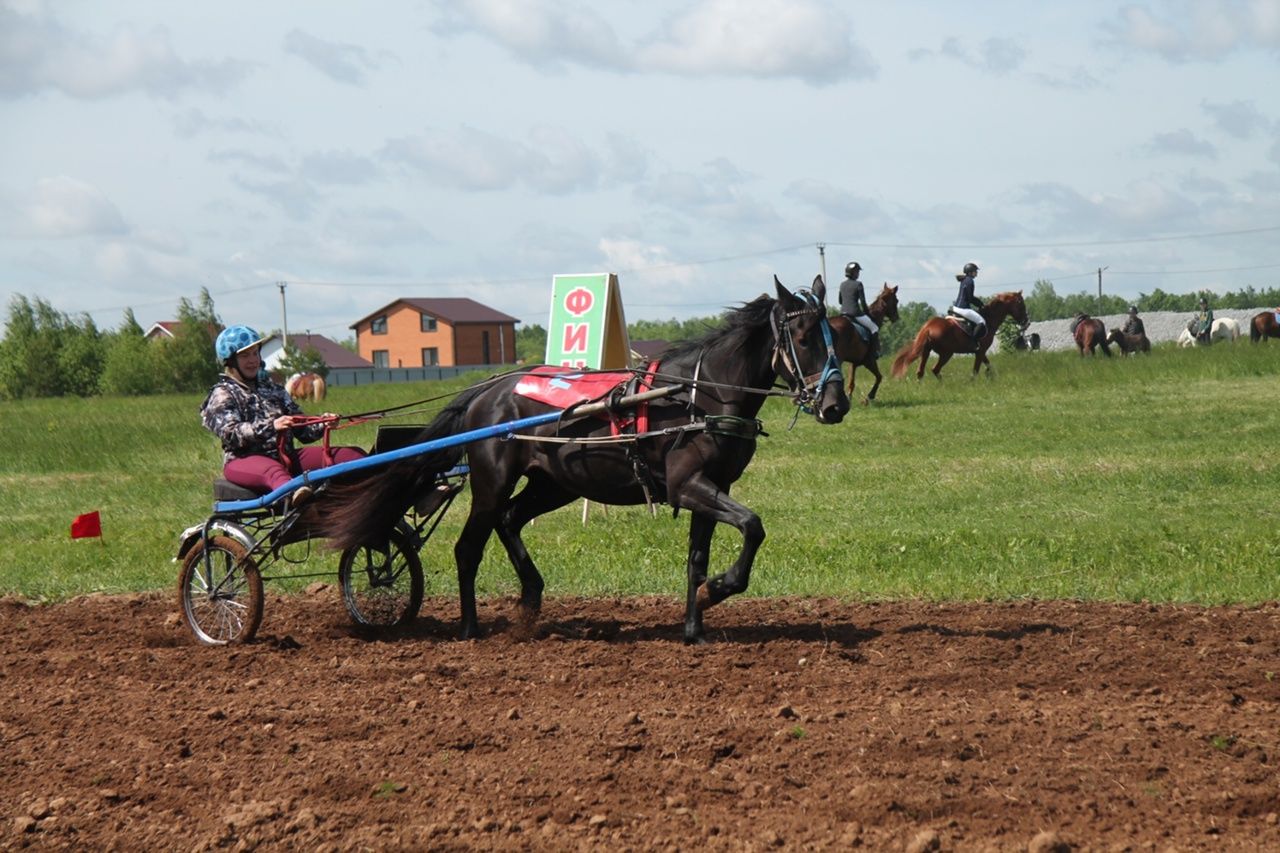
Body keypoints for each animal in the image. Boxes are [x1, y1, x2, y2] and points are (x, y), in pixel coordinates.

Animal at [325, 275, 849, 640]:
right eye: (804, 337)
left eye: (835, 338)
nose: (835, 405)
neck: (698, 396)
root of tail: (485, 392)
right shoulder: (689, 486)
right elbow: (753, 525)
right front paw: (721, 588)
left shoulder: (712, 486)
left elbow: (699, 559)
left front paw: (696, 623)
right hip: (493, 479)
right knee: (469, 546)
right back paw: (470, 629)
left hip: (552, 483)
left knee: (510, 520)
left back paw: (531, 598)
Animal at [890, 292, 1029, 379]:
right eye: (1021, 305)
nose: (1026, 322)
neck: (989, 319)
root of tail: (928, 327)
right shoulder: (980, 351)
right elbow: (975, 371)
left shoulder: (981, 352)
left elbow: (989, 366)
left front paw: (991, 376)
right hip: (947, 353)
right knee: (935, 369)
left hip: (926, 351)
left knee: (921, 372)